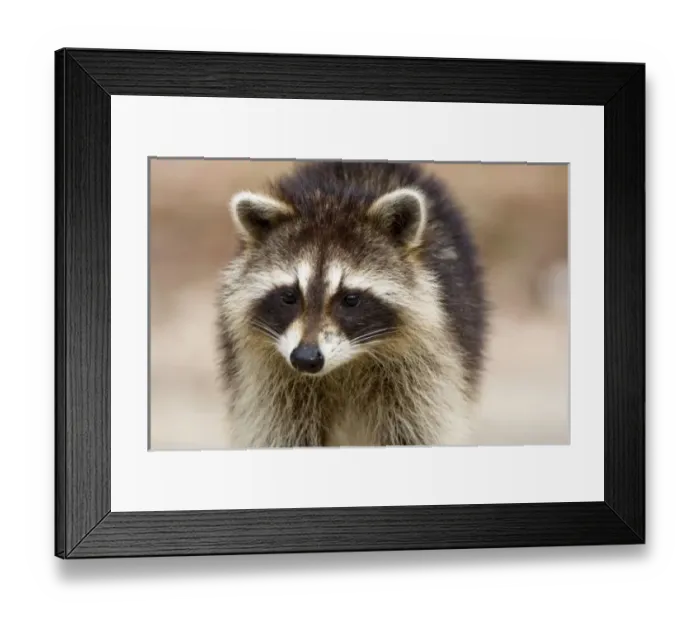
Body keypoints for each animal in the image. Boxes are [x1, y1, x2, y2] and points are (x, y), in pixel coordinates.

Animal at [216, 161, 488, 448]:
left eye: (351, 299)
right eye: (289, 296)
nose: (305, 359)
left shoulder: (425, 366)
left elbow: (417, 430)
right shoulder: (266, 377)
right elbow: (280, 432)